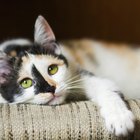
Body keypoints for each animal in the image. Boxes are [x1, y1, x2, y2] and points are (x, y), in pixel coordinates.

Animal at [0, 15, 135, 137]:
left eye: (52, 69)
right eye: (26, 82)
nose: (51, 88)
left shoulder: (75, 72)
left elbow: (105, 86)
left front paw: (119, 118)